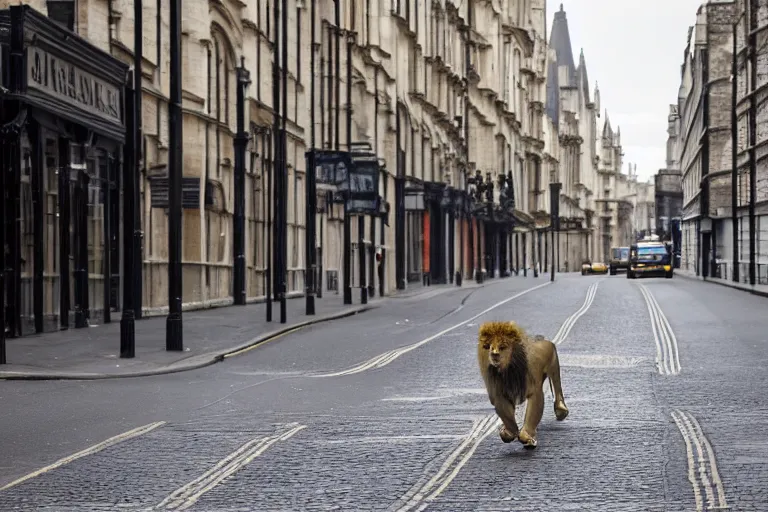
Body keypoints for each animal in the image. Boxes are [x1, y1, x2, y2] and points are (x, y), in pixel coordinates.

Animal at [476, 322, 568, 450]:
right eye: (488, 346)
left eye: (502, 346)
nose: (494, 354)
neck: (508, 370)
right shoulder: (499, 394)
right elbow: (508, 418)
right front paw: (507, 433)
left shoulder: (534, 391)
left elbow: (532, 415)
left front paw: (527, 438)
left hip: (554, 368)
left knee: (557, 387)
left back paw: (561, 410)